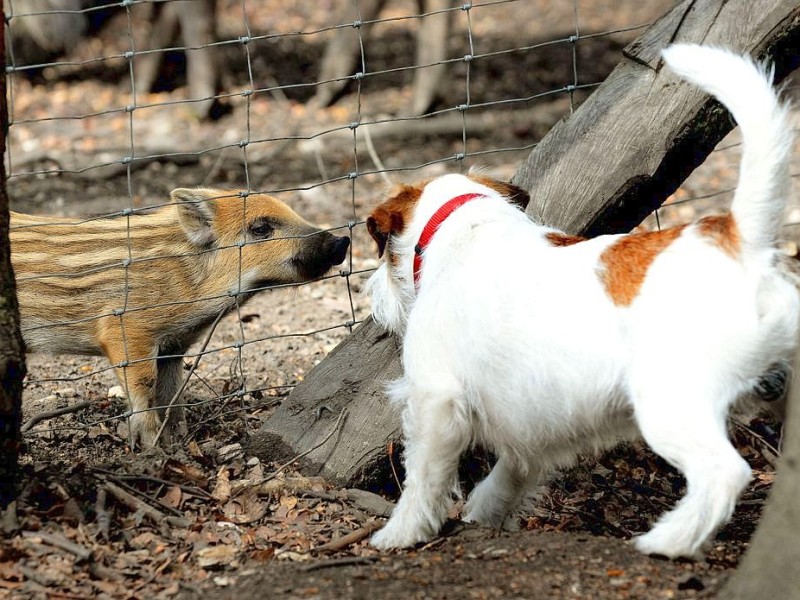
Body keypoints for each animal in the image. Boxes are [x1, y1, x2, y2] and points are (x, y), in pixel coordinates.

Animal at [366, 45, 796, 556]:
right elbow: (510, 474)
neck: (468, 229)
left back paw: (666, 540)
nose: (373, 301)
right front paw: (483, 515)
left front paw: (400, 532)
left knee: (724, 473)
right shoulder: (532, 422)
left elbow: (424, 477)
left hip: (671, 407)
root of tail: (737, 238)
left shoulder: (435, 399)